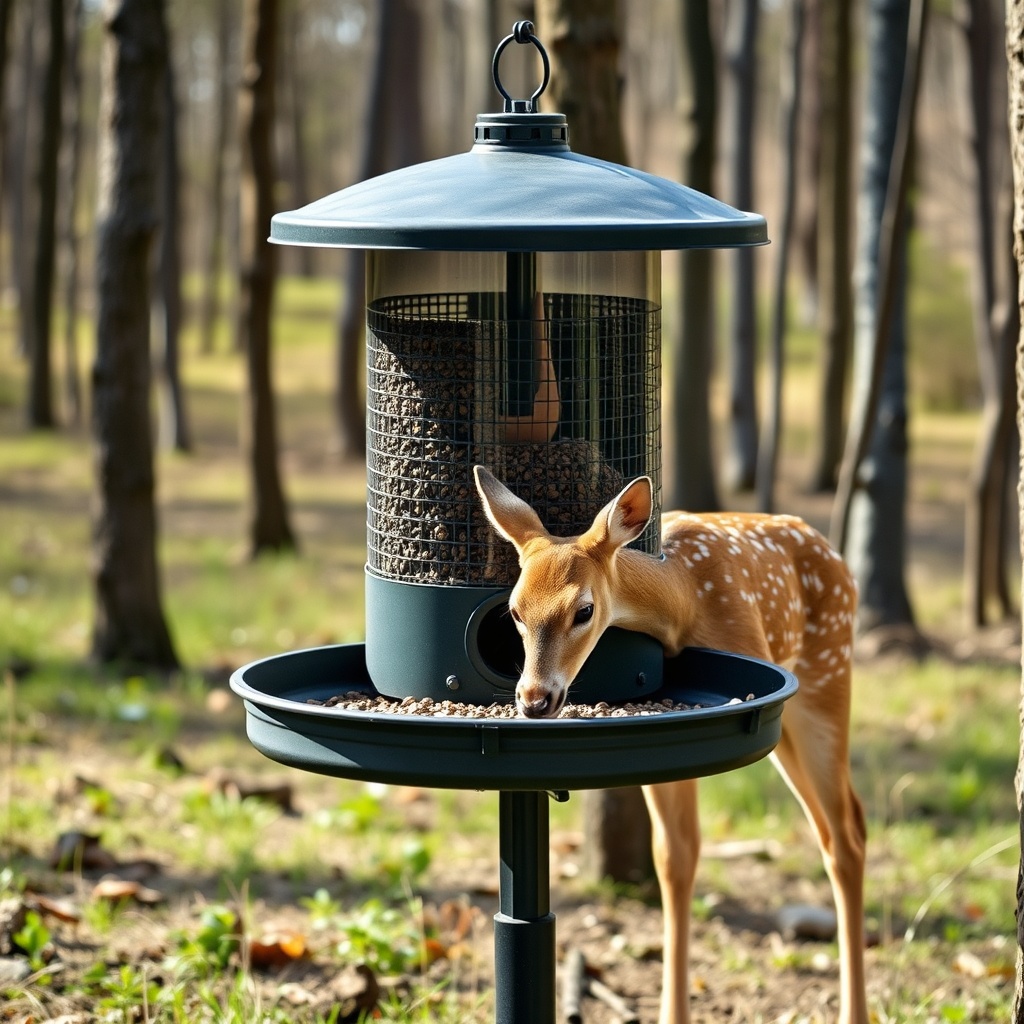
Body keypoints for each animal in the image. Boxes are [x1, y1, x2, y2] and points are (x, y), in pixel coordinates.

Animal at [473, 465, 868, 1024]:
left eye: (584, 611)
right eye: (513, 612)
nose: (534, 699)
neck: (686, 598)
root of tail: (835, 555)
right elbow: (674, 856)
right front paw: (671, 1011)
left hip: (828, 673)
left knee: (847, 832)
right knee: (831, 830)